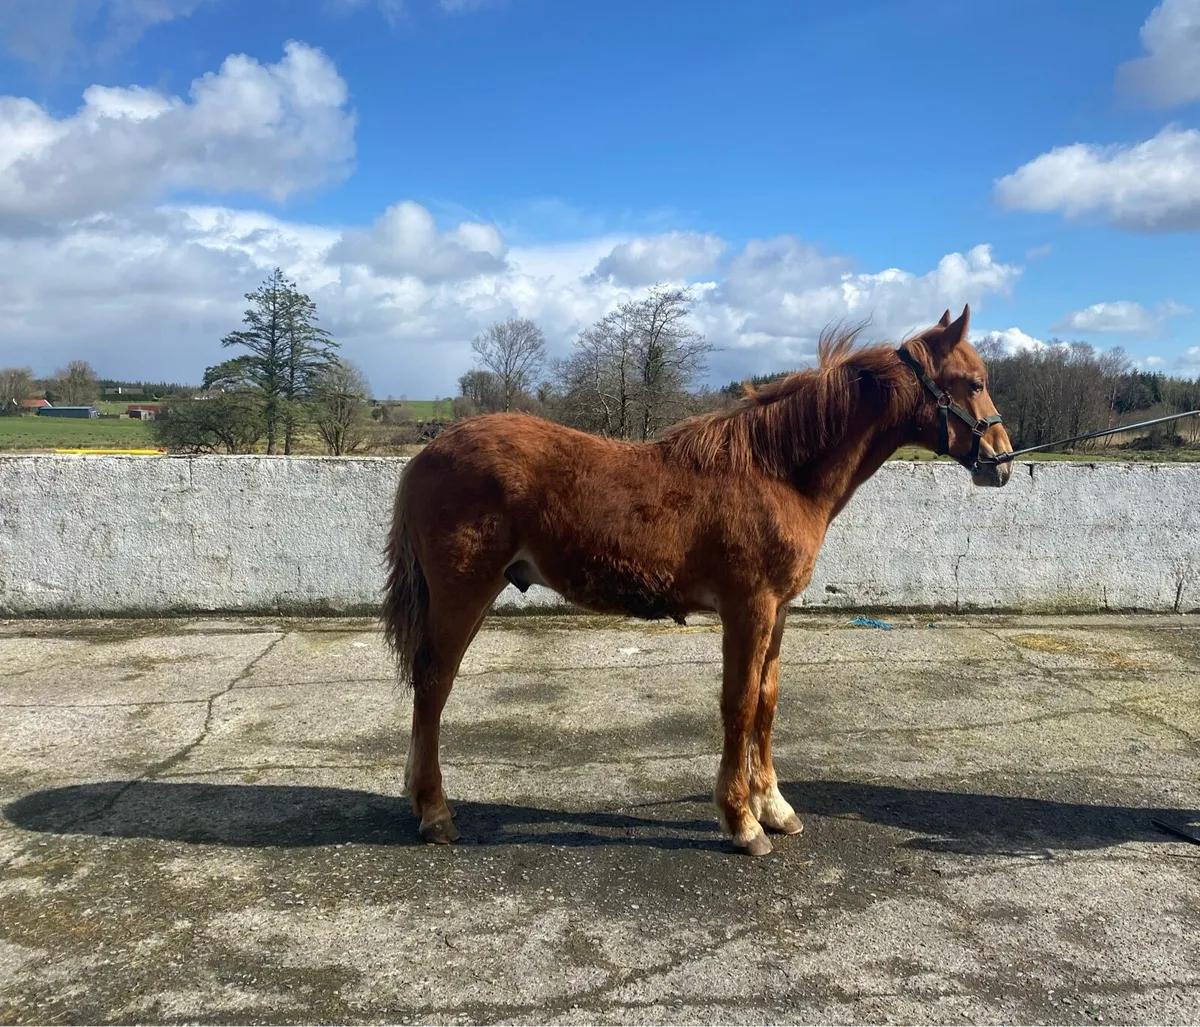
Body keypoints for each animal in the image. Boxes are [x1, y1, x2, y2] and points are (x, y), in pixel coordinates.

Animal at [382, 304, 1012, 856]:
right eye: (972, 382)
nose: (1003, 461)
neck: (777, 473)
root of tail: (427, 453)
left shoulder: (778, 610)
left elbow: (767, 701)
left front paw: (774, 807)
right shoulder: (747, 607)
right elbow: (738, 704)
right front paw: (742, 822)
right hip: (463, 593)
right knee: (434, 684)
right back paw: (435, 812)